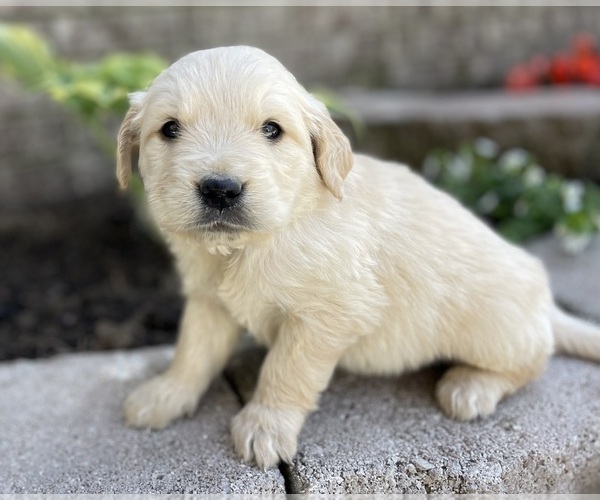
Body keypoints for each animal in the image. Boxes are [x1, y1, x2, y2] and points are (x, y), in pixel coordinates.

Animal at [116, 46, 600, 468]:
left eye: (272, 129)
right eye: (170, 129)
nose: (220, 189)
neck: (251, 244)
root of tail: (545, 301)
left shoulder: (330, 315)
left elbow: (285, 368)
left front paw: (265, 424)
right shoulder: (207, 299)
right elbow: (192, 351)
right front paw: (166, 394)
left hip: (493, 328)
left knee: (534, 358)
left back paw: (471, 385)